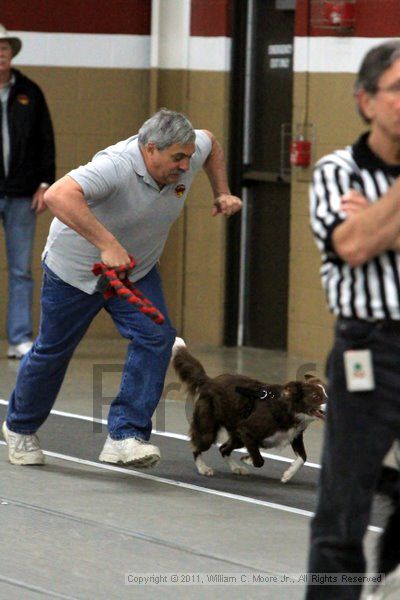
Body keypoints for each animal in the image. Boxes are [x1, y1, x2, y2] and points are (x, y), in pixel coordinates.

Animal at [171, 338, 324, 482]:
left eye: (327, 394)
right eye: (316, 397)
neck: (290, 409)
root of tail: (209, 381)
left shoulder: (295, 435)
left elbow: (303, 457)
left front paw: (288, 474)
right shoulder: (247, 431)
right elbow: (259, 460)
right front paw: (248, 459)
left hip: (237, 436)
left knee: (223, 449)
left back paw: (236, 468)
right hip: (208, 430)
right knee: (196, 447)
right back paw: (203, 468)